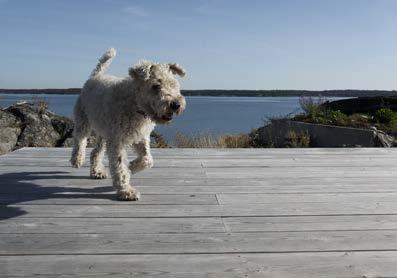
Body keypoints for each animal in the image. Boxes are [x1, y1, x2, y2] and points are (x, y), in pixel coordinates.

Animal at [70, 47, 186, 200]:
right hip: (83, 120)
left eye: (174, 84)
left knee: (95, 152)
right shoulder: (117, 141)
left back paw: (97, 172)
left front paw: (130, 168)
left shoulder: (141, 137)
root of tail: (95, 76)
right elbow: (119, 166)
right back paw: (77, 160)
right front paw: (126, 191)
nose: (176, 105)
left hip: (103, 132)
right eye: (156, 85)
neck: (135, 104)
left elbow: (147, 159)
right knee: (79, 140)